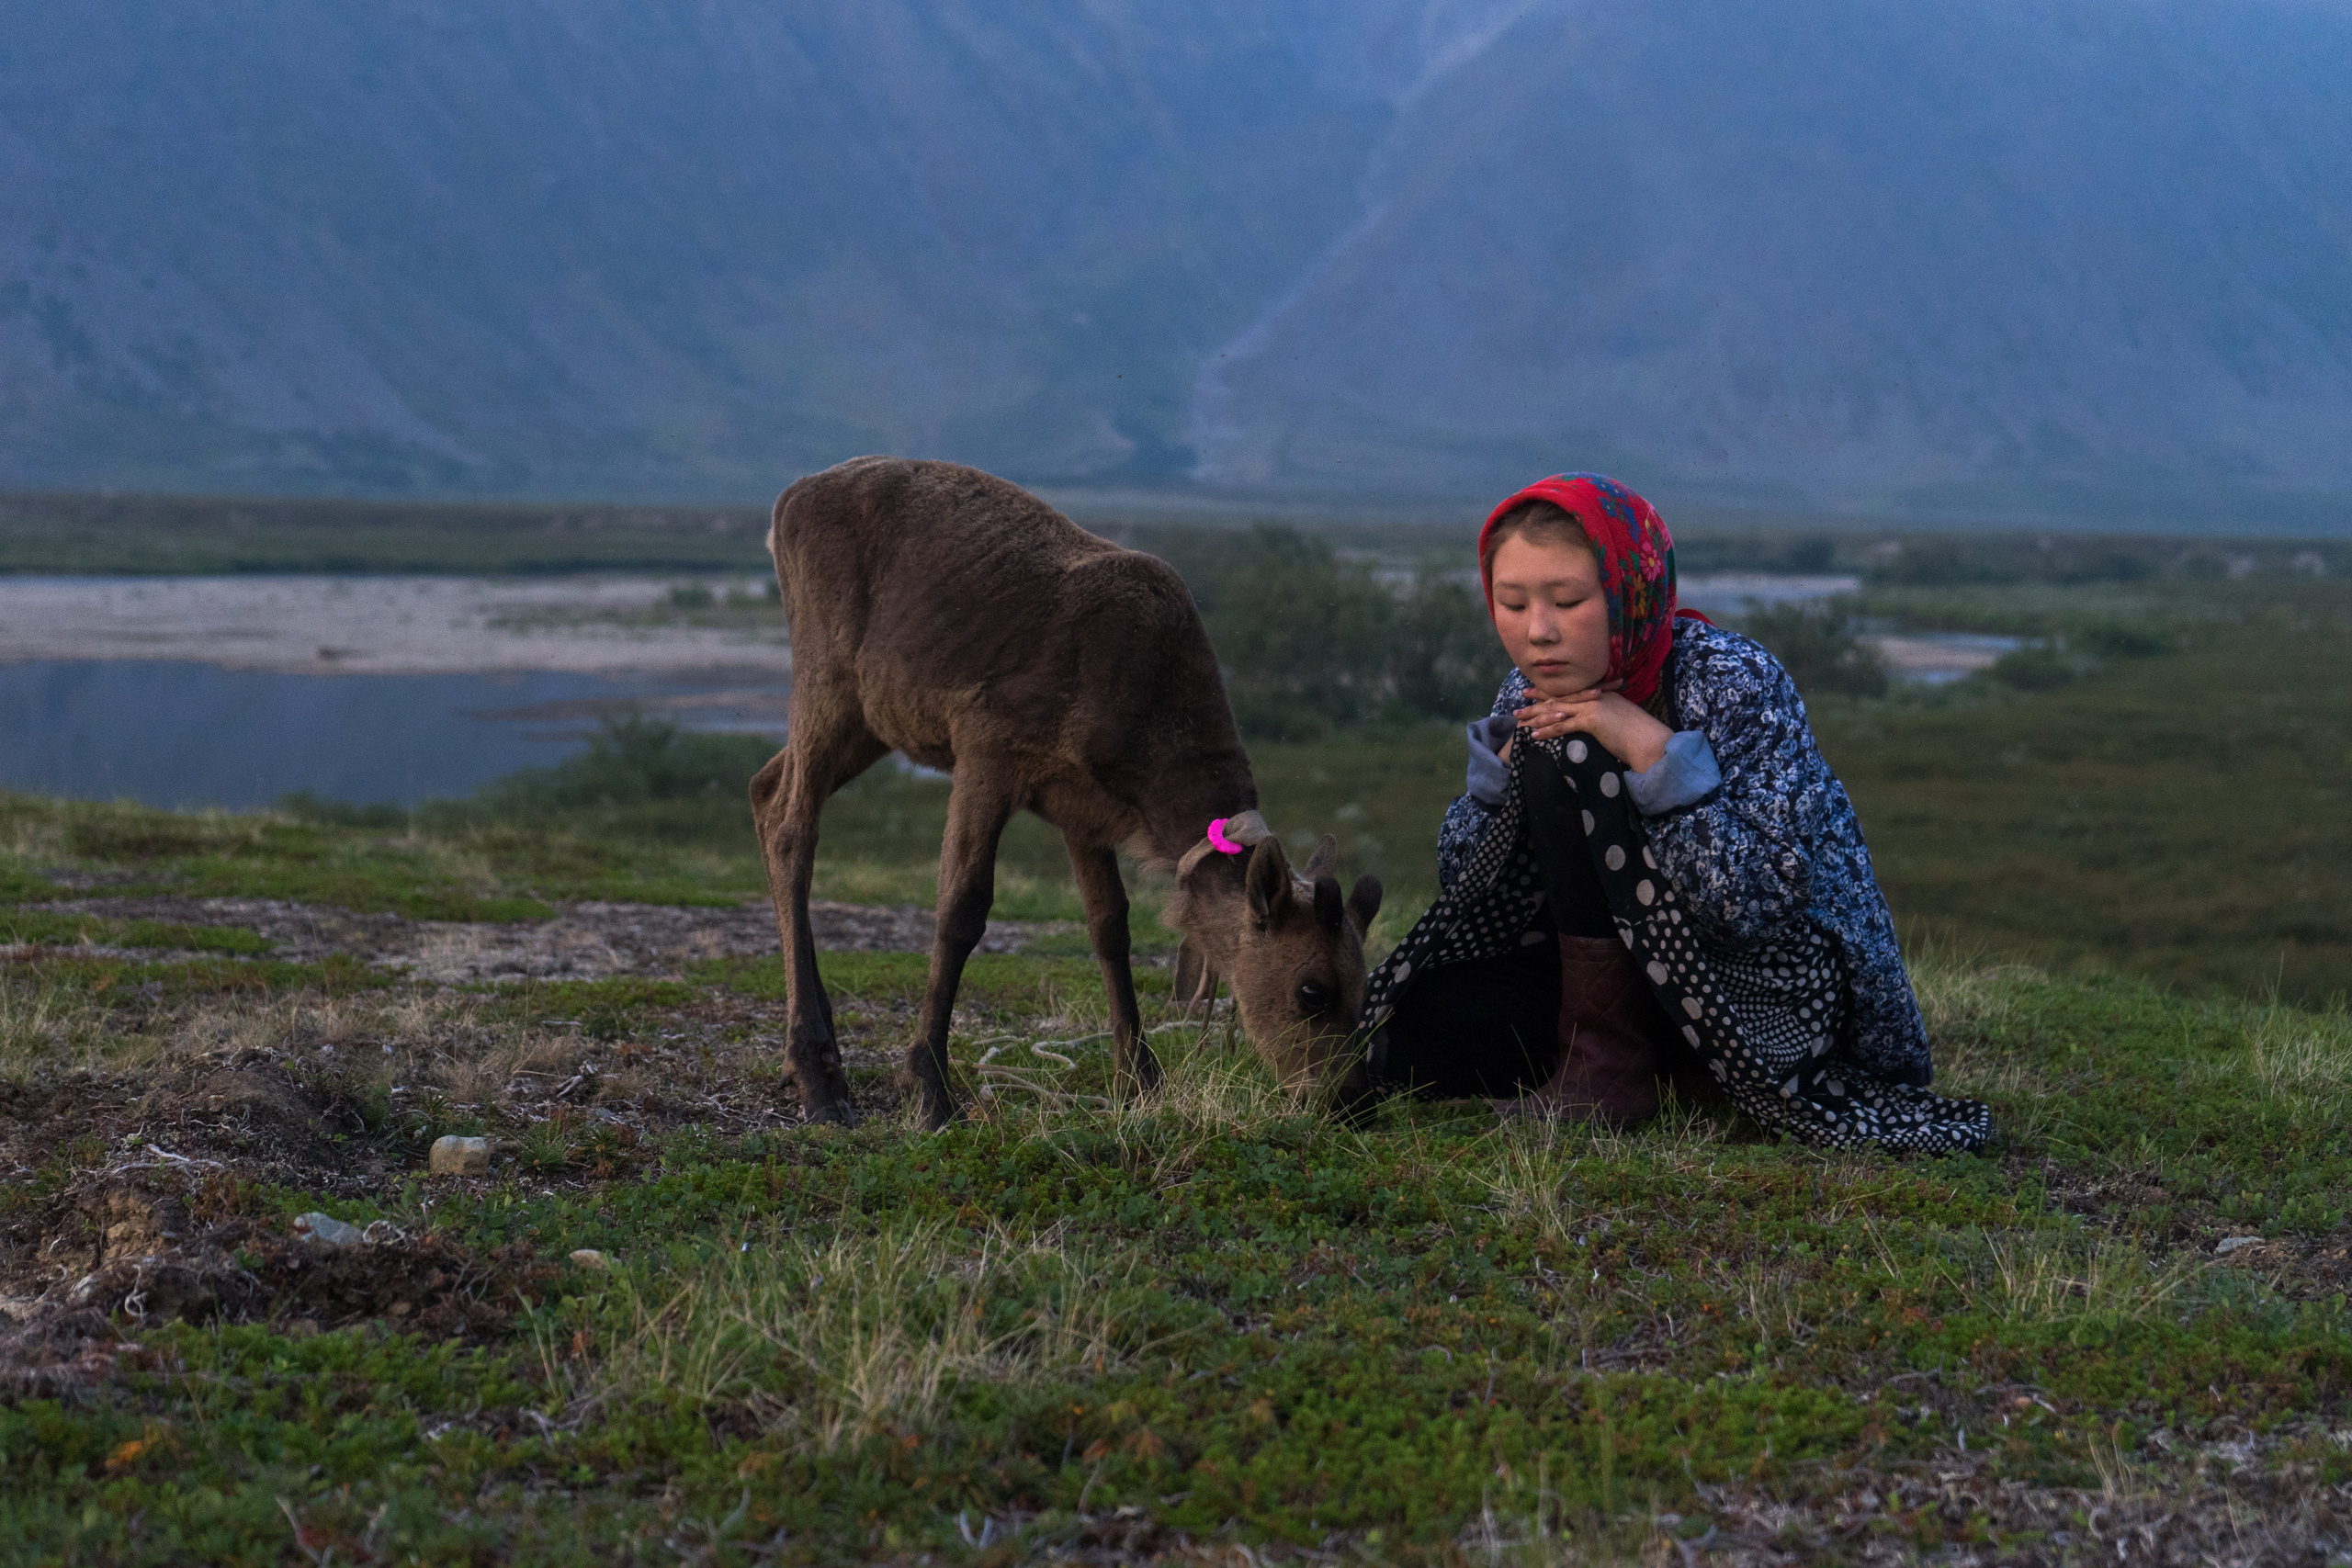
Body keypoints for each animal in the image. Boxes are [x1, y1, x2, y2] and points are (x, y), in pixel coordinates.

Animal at [750, 456, 1383, 1129]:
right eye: (1311, 991)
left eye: (1365, 983)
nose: (1353, 1101)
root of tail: (786, 502)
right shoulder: (987, 748)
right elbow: (961, 908)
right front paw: (929, 1087)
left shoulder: (1085, 809)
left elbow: (1110, 924)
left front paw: (1138, 1079)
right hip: (828, 678)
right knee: (793, 828)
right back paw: (814, 1075)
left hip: (874, 719)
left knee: (764, 790)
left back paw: (822, 1049)